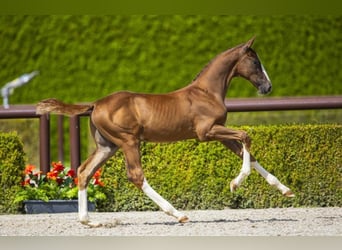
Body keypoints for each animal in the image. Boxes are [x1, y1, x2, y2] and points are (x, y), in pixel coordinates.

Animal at [36, 37, 294, 227]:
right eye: (255, 62)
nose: (267, 87)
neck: (206, 92)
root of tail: (95, 104)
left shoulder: (219, 134)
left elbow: (246, 151)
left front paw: (285, 190)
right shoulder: (207, 132)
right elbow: (245, 136)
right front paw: (235, 184)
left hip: (107, 146)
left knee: (84, 171)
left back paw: (89, 221)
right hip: (128, 141)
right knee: (136, 176)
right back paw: (177, 213)